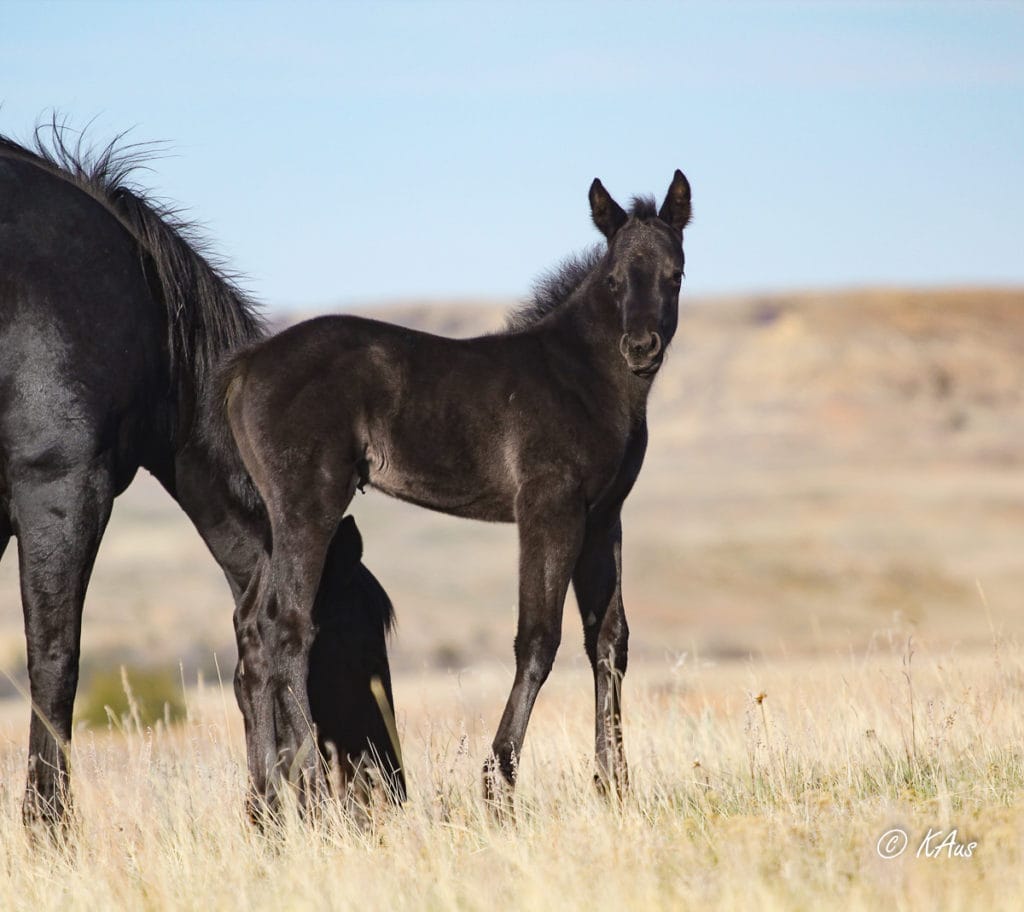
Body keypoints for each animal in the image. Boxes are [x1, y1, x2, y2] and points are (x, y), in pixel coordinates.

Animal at [220, 169, 692, 806]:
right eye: (615, 279)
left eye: (675, 274)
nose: (640, 348)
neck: (583, 377)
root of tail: (246, 365)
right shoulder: (549, 508)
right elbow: (538, 639)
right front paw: (498, 784)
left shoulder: (603, 518)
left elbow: (608, 640)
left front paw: (614, 786)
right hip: (308, 506)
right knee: (286, 625)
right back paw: (315, 792)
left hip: (281, 517)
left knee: (254, 628)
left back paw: (272, 799)